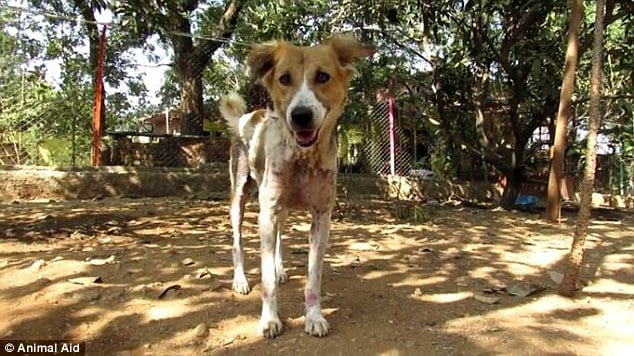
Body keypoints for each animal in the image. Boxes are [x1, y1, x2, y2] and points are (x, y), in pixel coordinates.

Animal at [220, 34, 372, 338]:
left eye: (323, 76)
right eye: (284, 78)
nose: (300, 115)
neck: (303, 158)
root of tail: (247, 117)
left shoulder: (321, 216)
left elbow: (313, 277)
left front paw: (314, 317)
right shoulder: (267, 213)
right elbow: (266, 280)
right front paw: (270, 320)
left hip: (282, 210)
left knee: (278, 238)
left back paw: (280, 268)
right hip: (240, 198)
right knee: (237, 242)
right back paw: (240, 280)